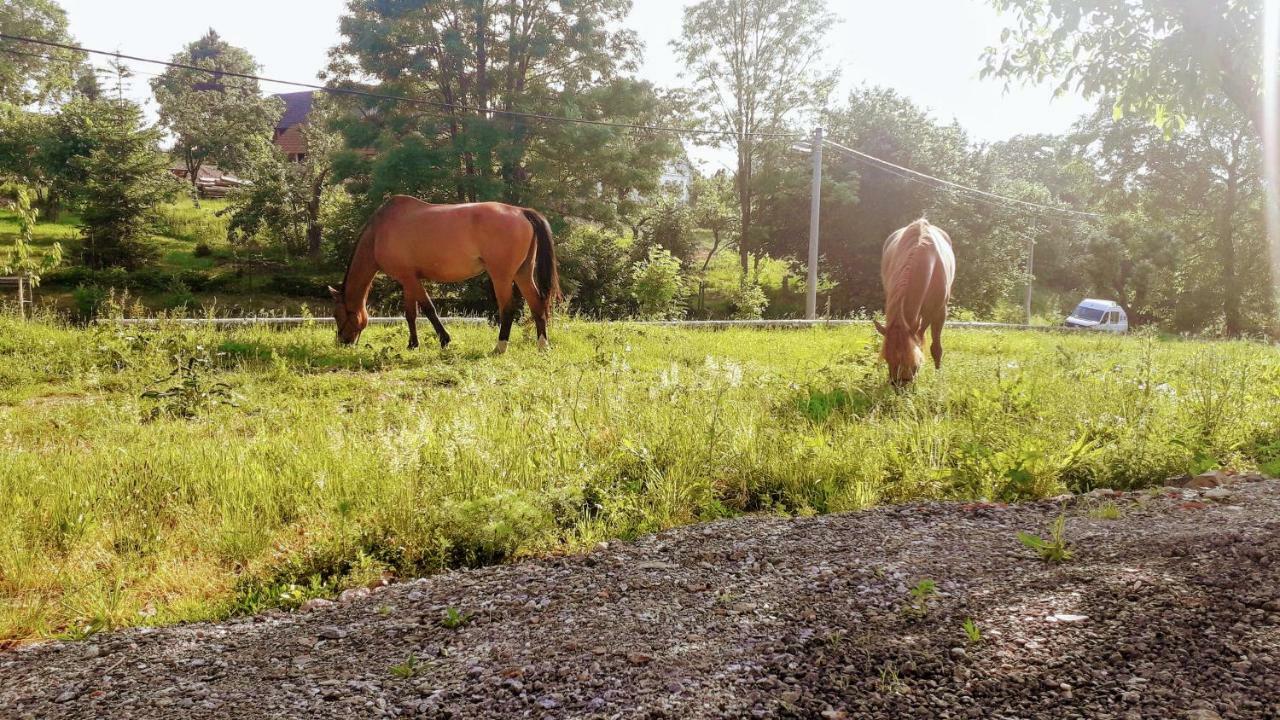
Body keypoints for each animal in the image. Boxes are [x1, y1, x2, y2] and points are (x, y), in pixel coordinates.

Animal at [327, 193, 558, 353]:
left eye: (337, 315)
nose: (342, 342)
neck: (379, 232)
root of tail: (521, 211)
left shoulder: (411, 280)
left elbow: (428, 309)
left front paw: (444, 340)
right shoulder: (408, 280)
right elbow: (410, 314)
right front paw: (413, 344)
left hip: (501, 276)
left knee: (508, 310)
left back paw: (500, 347)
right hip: (522, 273)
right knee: (537, 304)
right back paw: (542, 345)